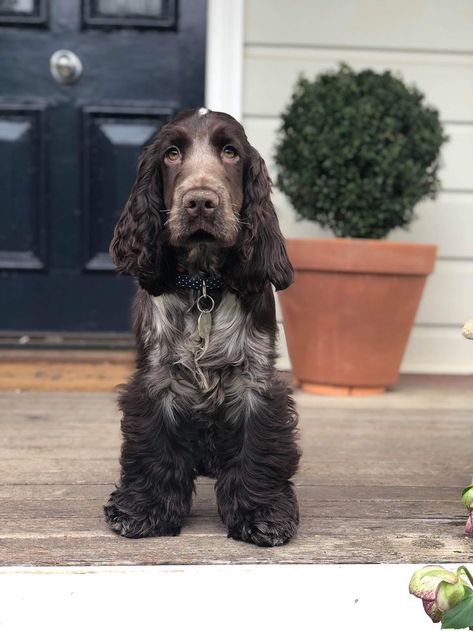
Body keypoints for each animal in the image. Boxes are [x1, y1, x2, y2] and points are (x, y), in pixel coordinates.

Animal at [105, 108, 300, 548]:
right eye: (172, 153)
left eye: (230, 152)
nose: (200, 203)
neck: (204, 285)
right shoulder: (156, 380)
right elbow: (155, 446)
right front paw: (144, 509)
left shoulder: (254, 380)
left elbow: (257, 447)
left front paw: (261, 514)